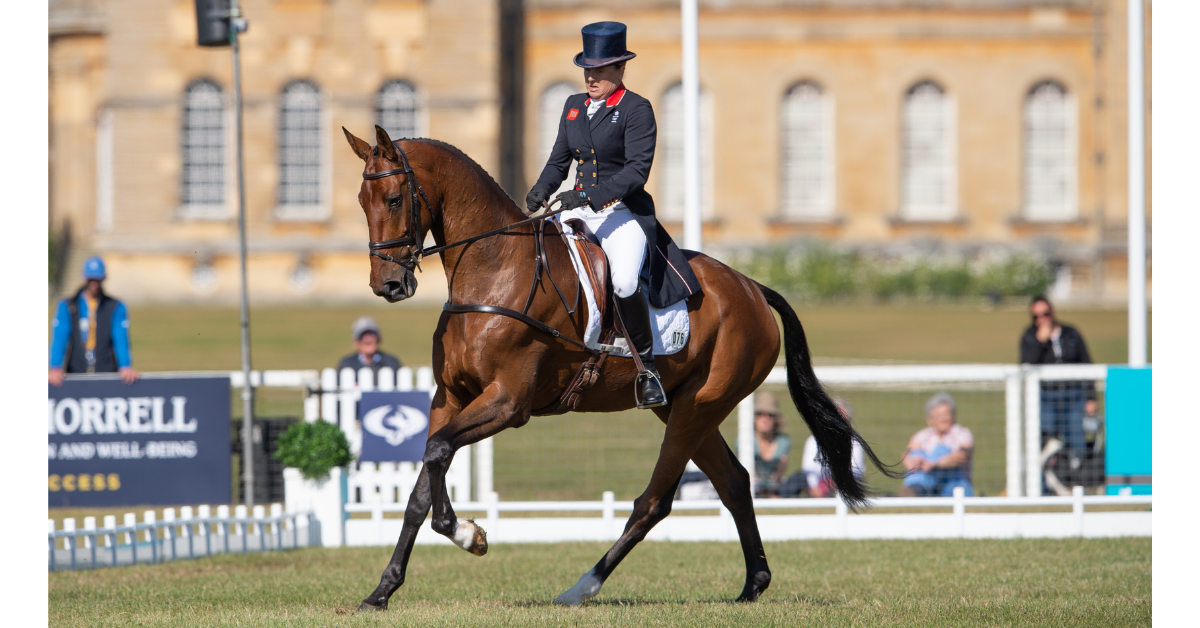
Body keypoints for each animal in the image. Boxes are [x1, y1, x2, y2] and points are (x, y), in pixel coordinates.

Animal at [343, 125, 897, 612]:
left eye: (394, 200)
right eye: (361, 202)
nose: (386, 286)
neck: (495, 268)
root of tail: (752, 288)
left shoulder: (507, 403)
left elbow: (437, 454)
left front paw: (467, 534)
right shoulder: (451, 398)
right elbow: (422, 485)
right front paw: (383, 590)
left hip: (697, 407)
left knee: (655, 502)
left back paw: (581, 588)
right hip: (683, 407)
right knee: (736, 482)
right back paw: (752, 584)